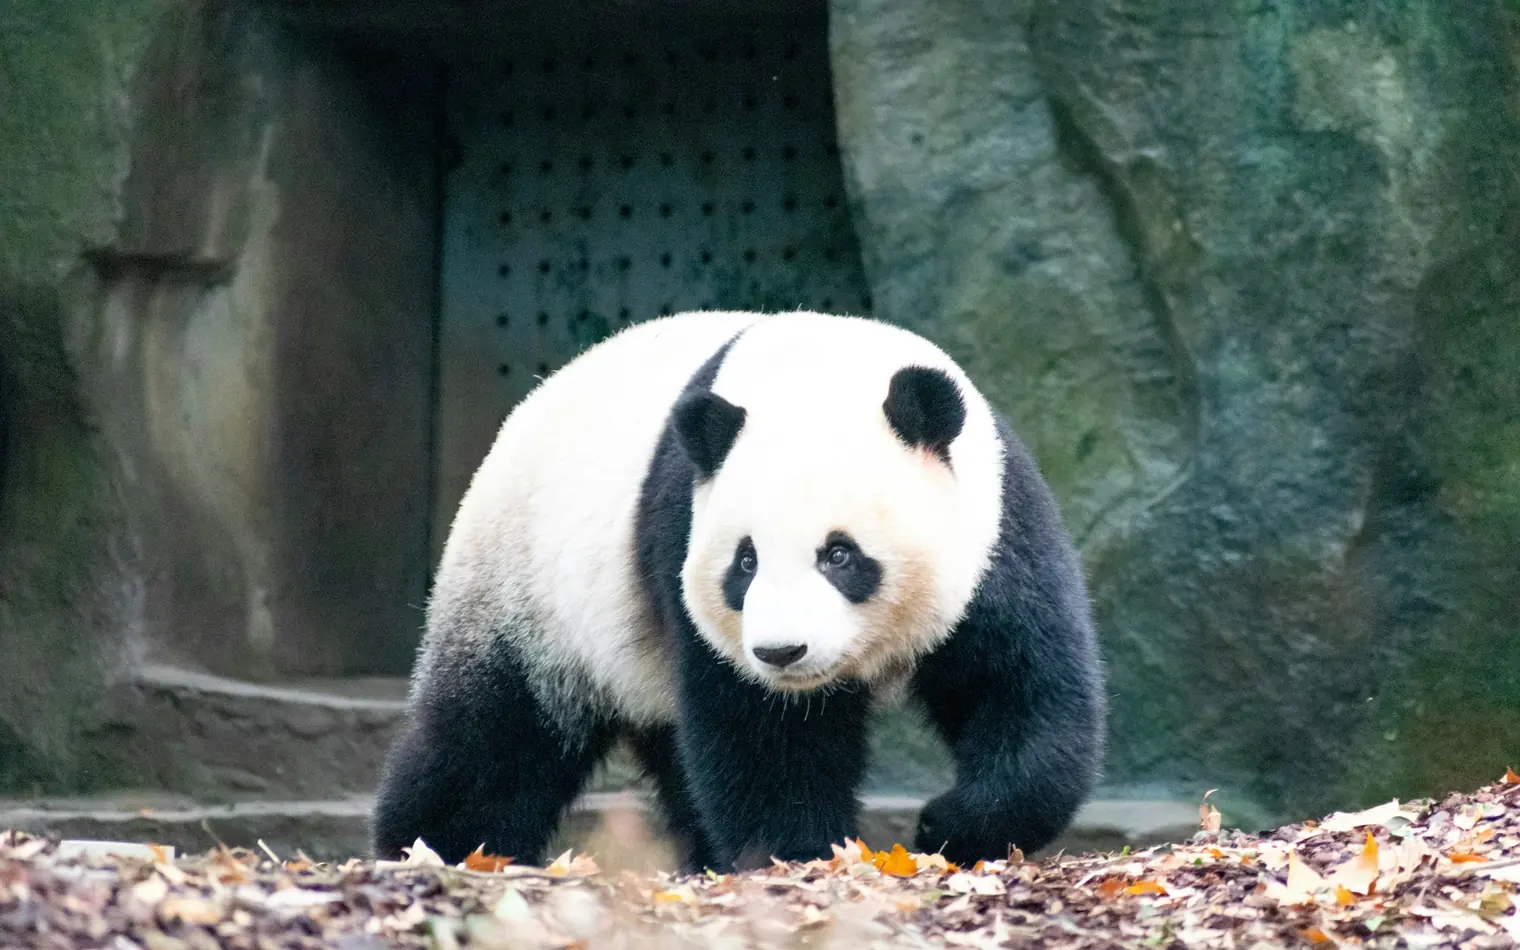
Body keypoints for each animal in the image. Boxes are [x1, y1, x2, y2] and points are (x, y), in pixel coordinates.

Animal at [372, 309, 1106, 873]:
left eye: (840, 555)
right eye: (744, 562)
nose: (783, 652)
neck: (817, 372)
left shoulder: (997, 531)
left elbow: (1022, 686)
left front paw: (949, 825)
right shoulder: (682, 534)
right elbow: (761, 732)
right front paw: (803, 853)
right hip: (527, 590)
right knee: (494, 737)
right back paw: (433, 847)